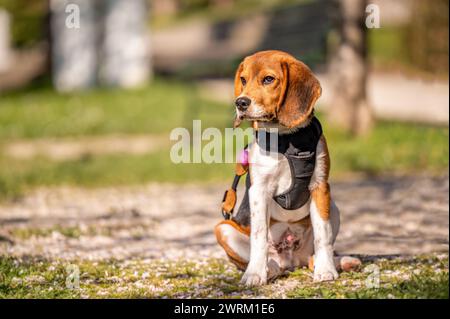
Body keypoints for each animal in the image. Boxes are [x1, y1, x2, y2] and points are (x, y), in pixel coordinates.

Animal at [216, 50, 360, 288]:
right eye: (243, 80)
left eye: (268, 79)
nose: (241, 102)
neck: (285, 138)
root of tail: (292, 261)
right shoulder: (259, 191)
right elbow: (258, 236)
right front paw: (254, 274)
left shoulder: (320, 187)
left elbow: (323, 235)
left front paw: (326, 270)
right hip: (223, 228)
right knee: (270, 259)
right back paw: (269, 269)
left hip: (332, 206)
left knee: (315, 255)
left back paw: (340, 262)